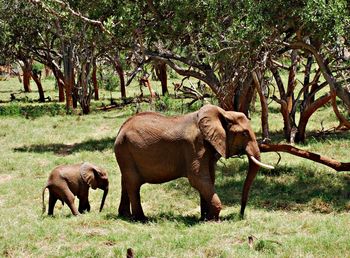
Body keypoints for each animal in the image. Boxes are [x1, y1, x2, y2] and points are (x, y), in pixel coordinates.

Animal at [115, 104, 274, 221]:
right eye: (244, 133)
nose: (240, 215)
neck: (223, 114)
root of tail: (121, 128)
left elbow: (209, 178)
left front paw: (205, 218)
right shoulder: (194, 146)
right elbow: (198, 178)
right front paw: (213, 219)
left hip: (125, 152)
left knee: (125, 181)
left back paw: (125, 216)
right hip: (125, 150)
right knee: (134, 183)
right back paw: (141, 219)